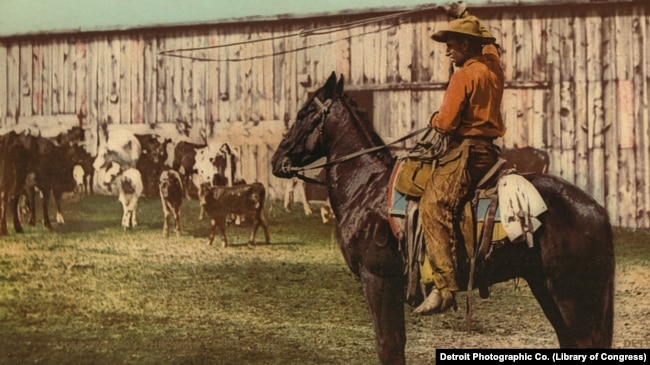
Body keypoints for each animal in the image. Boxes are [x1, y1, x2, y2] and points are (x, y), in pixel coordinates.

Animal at [270, 72, 612, 362]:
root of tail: (596, 210)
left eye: (303, 114)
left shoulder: (377, 281)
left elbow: (388, 345)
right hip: (547, 290)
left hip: (573, 297)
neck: (366, 187)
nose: (276, 160)